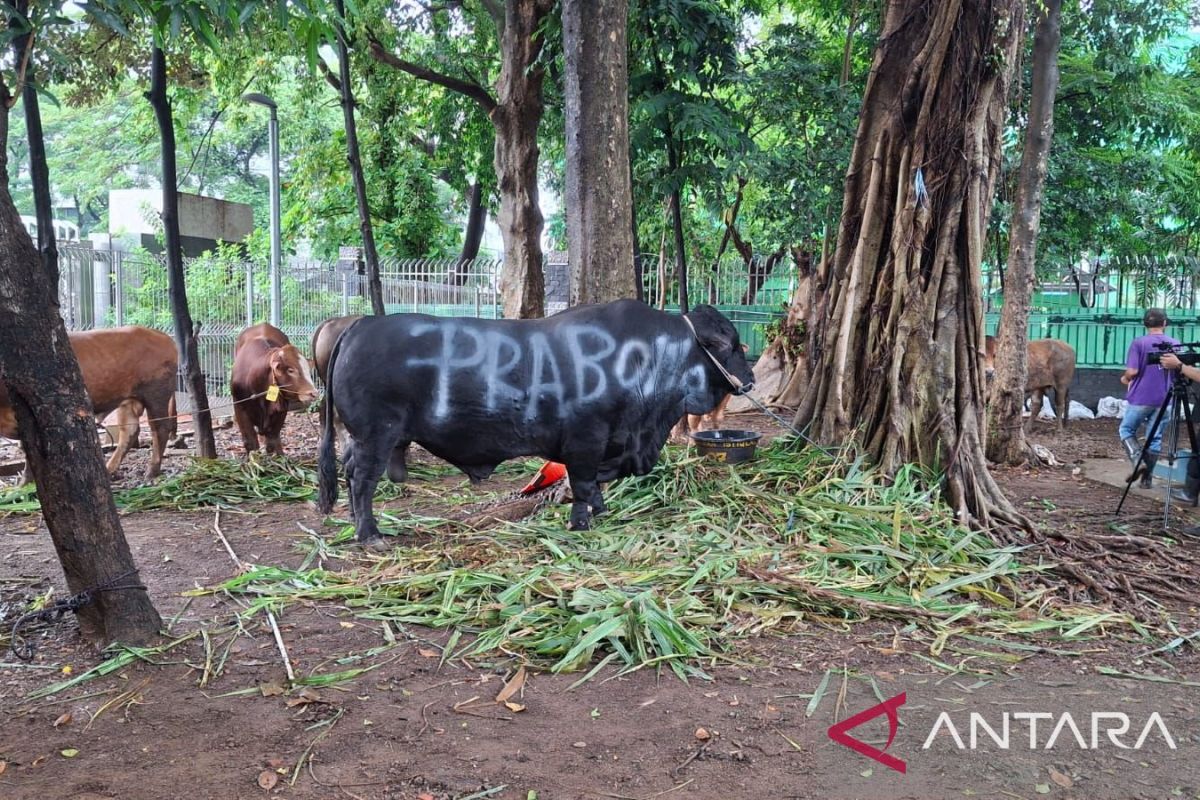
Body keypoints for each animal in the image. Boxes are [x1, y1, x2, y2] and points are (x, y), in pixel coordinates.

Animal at [0, 326, 177, 482]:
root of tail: (163, 337)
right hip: (128, 401)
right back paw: (109, 470)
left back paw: (151, 471)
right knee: (130, 431)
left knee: (159, 429)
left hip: (156, 395)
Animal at [229, 321, 319, 455]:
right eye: (290, 370)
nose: (314, 393)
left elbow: (272, 439)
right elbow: (250, 442)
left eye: (308, 369)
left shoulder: (281, 410)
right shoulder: (239, 407)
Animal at [316, 299, 748, 544]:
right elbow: (584, 483)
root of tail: (360, 325)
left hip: (362, 437)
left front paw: (597, 509)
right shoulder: (586, 440)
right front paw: (582, 521)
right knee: (362, 479)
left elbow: (591, 485)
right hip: (376, 435)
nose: (750, 380)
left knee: (350, 470)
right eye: (728, 344)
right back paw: (369, 534)